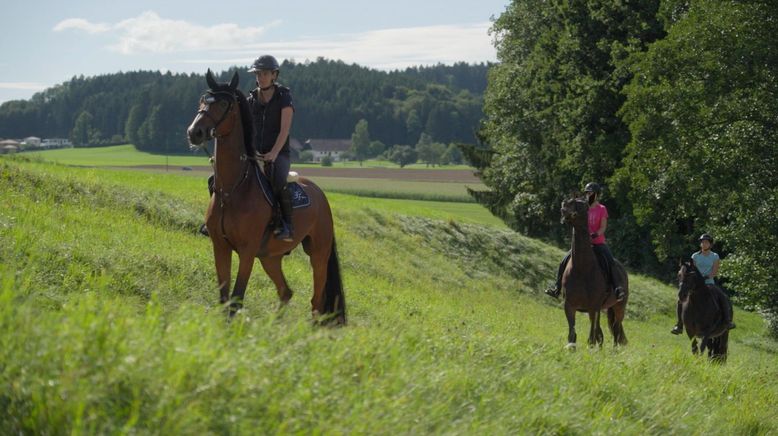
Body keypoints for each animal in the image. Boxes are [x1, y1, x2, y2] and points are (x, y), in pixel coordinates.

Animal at [183, 70, 344, 324]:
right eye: (202, 100)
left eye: (224, 104)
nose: (194, 132)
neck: (233, 189)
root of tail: (319, 193)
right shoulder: (220, 246)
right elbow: (224, 297)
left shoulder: (247, 251)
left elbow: (236, 299)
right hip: (270, 257)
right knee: (286, 292)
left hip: (318, 254)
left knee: (316, 302)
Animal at [556, 197, 624, 348]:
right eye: (567, 202)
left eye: (581, 206)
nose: (563, 208)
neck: (582, 268)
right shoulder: (569, 305)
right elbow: (572, 333)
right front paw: (571, 347)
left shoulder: (593, 307)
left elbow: (591, 336)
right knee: (602, 331)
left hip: (619, 307)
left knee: (616, 328)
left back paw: (615, 350)